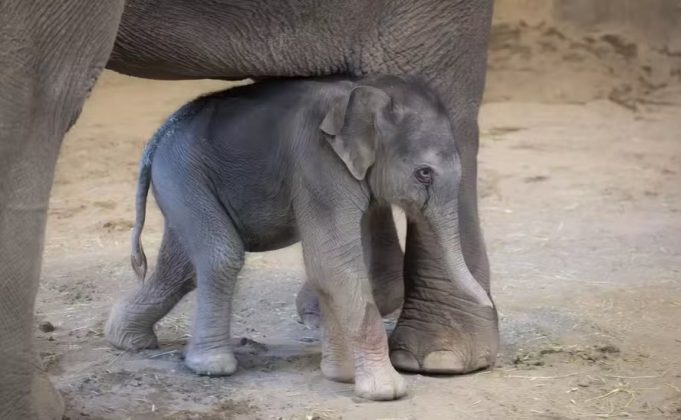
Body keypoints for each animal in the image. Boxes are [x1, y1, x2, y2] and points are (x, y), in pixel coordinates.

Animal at [106, 75, 484, 400]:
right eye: (424, 174)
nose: (488, 302)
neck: (362, 91)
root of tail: (159, 135)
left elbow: (333, 265)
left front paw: (341, 375)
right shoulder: (320, 166)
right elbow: (331, 262)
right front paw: (386, 391)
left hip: (180, 180)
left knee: (181, 267)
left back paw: (128, 341)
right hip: (183, 172)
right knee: (220, 256)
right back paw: (212, 366)